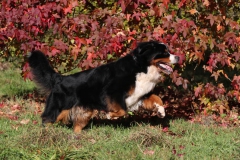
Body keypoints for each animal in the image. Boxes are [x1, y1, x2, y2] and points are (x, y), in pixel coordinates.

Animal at [28, 41, 178, 132]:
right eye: (165, 52)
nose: (178, 57)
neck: (141, 67)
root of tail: (60, 78)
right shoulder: (112, 92)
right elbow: (122, 110)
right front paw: (110, 115)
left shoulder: (141, 94)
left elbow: (157, 98)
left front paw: (161, 111)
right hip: (58, 109)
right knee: (47, 120)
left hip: (84, 113)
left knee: (77, 126)